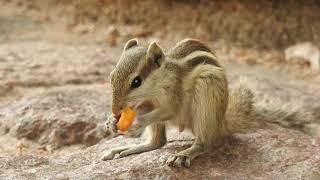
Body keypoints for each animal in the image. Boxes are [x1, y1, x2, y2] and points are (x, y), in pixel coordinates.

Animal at [100, 38, 320, 168]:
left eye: (136, 82)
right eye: (111, 76)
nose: (115, 109)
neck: (155, 86)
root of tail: (221, 122)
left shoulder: (173, 97)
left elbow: (168, 110)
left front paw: (137, 123)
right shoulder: (148, 102)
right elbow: (146, 112)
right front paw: (111, 121)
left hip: (206, 97)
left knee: (205, 143)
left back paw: (184, 154)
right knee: (157, 142)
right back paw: (123, 150)